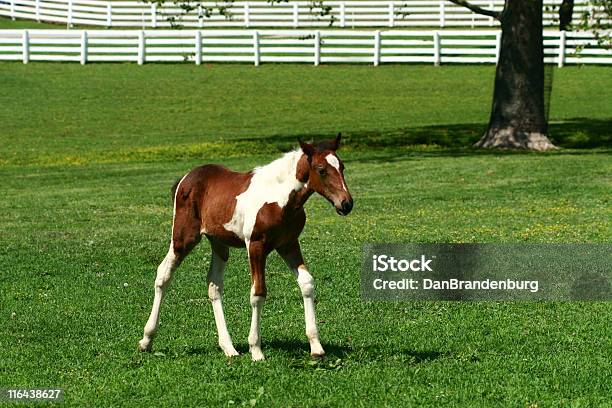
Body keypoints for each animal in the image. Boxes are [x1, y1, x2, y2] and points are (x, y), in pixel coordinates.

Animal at [136, 135, 352, 360]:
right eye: (321, 170)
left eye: (342, 167)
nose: (346, 204)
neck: (279, 198)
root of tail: (185, 178)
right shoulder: (255, 246)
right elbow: (258, 292)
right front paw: (256, 349)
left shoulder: (289, 244)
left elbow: (307, 283)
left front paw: (316, 347)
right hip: (183, 238)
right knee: (163, 274)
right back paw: (146, 340)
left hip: (219, 244)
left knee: (214, 285)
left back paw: (228, 348)